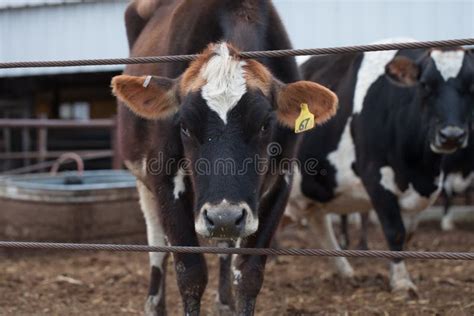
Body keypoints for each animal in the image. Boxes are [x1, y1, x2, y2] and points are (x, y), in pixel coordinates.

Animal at [110, 1, 336, 314]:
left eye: (265, 124)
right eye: (184, 125)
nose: (223, 216)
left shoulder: (281, 179)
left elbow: (249, 273)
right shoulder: (164, 177)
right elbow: (190, 273)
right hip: (143, 181)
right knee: (157, 241)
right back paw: (155, 303)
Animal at [286, 39, 474, 296]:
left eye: (471, 84)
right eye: (425, 84)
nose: (452, 135)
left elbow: (408, 234)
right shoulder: (375, 178)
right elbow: (395, 231)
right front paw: (401, 281)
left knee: (319, 223)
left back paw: (344, 271)